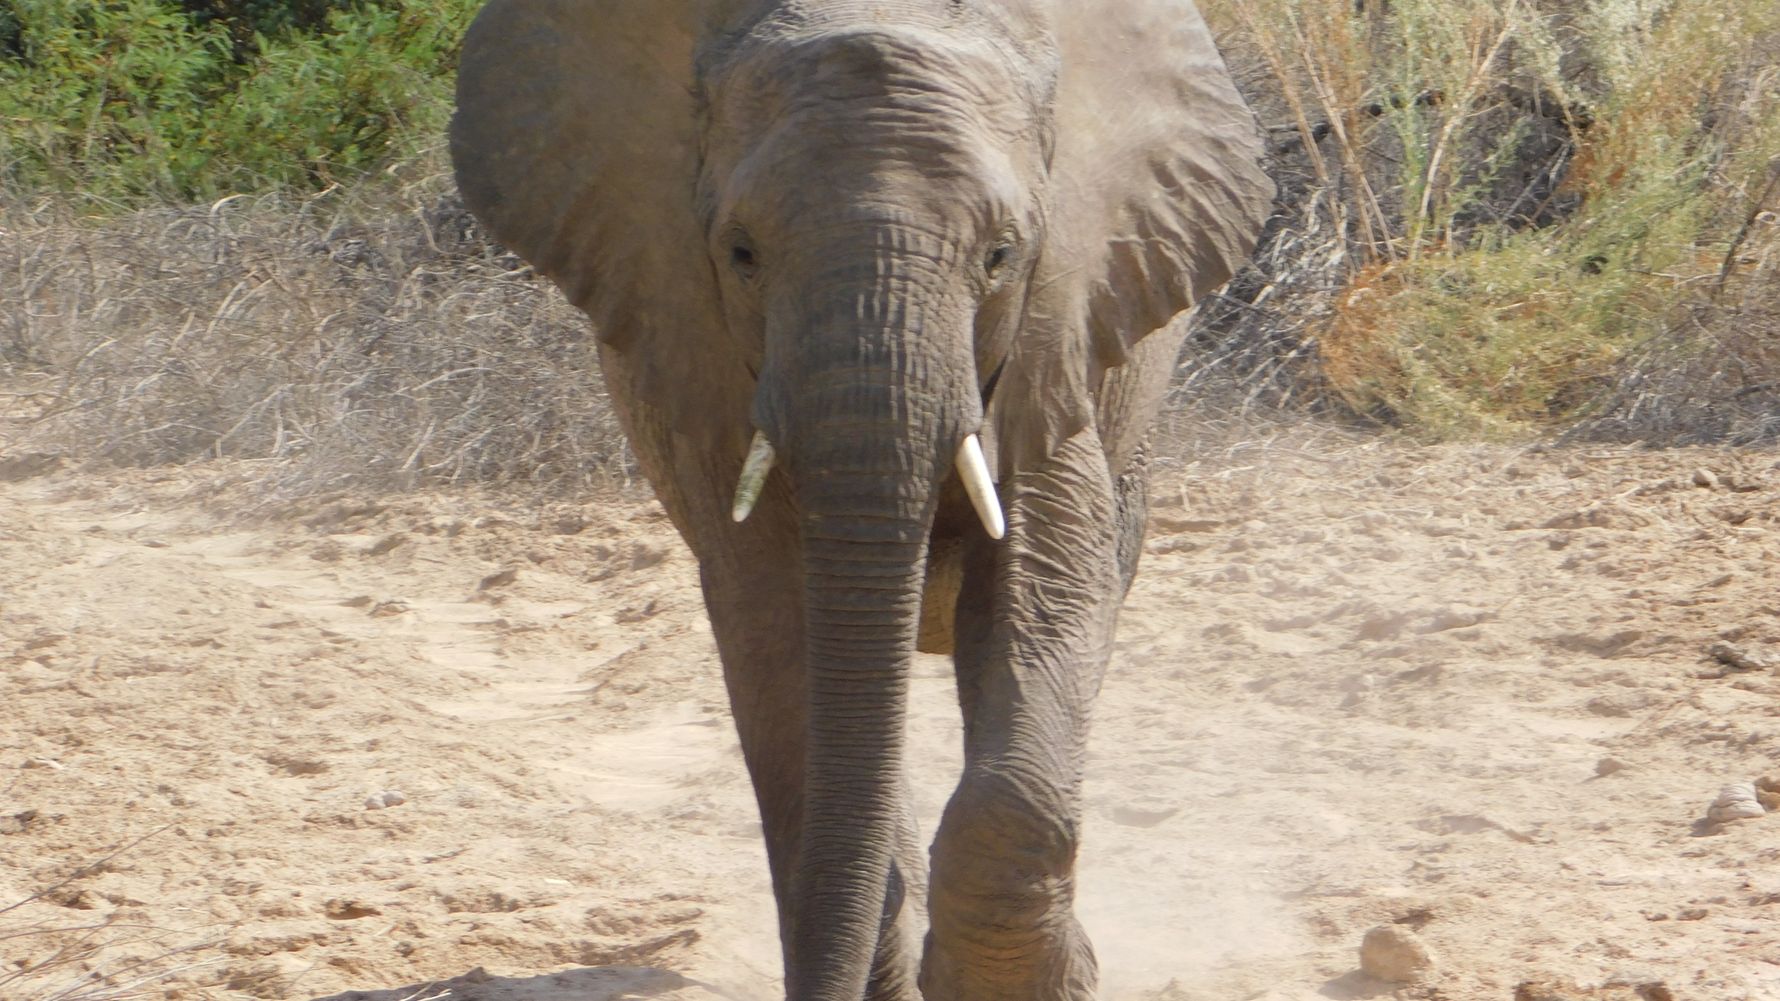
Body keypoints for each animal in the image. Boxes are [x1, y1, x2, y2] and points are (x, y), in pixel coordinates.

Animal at [449, 2, 1272, 999]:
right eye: (741, 254)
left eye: (1001, 256)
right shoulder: (706, 356)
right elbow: (779, 631)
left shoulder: (1061, 323)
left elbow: (1048, 575)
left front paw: (1032, 981)